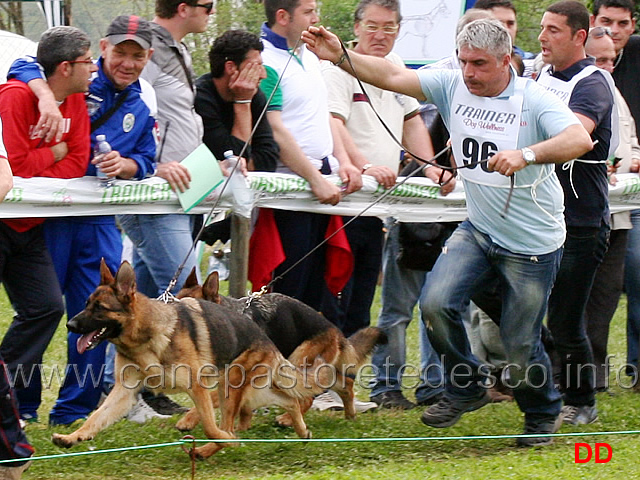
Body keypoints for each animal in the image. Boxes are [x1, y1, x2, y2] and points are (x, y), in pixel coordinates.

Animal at [51, 260, 324, 460]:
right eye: (86, 304)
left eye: (99, 308)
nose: (69, 325)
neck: (143, 337)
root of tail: (266, 340)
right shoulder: (124, 392)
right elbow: (96, 417)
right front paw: (74, 436)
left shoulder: (198, 387)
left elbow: (211, 428)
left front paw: (224, 440)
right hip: (249, 391)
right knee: (289, 400)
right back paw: (301, 430)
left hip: (231, 387)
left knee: (237, 421)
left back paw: (210, 448)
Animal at [176, 268, 384, 430]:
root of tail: (335, 331)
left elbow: (210, 399)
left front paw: (188, 420)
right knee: (345, 385)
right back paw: (349, 415)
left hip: (294, 363)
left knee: (306, 398)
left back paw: (287, 420)